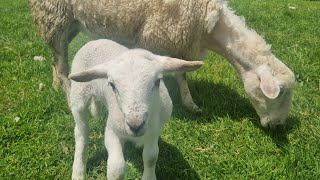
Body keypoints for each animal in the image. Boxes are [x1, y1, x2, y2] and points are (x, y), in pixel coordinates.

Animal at [28, 0, 296, 129]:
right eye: (280, 93)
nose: (278, 126)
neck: (208, 26)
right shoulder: (155, 37)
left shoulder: (177, 42)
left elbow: (182, 74)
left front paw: (190, 104)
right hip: (54, 16)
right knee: (62, 59)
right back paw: (65, 92)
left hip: (68, 22)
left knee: (57, 57)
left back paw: (55, 83)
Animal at [68, 38, 202, 179]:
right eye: (112, 85)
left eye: (158, 81)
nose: (135, 125)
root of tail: (96, 41)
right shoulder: (111, 131)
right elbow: (116, 168)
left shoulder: (154, 131)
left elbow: (151, 157)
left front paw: (149, 177)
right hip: (78, 96)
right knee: (81, 133)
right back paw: (78, 171)